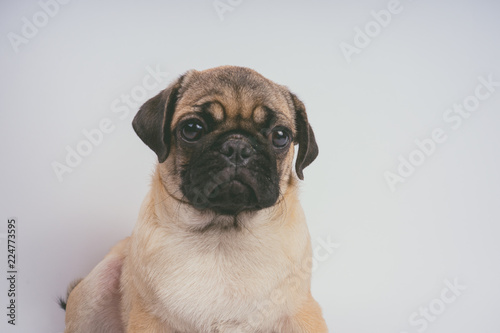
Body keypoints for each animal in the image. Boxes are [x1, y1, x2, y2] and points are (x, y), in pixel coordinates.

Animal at [62, 66, 326, 330]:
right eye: (192, 129)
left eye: (280, 136)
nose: (237, 147)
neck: (222, 238)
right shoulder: (149, 318)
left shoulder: (303, 315)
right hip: (96, 284)